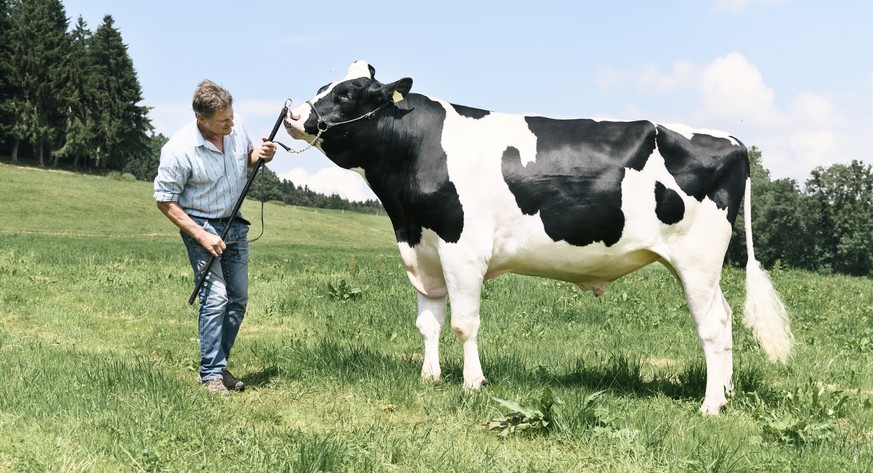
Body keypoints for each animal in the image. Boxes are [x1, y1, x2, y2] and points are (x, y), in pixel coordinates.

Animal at [284, 60, 792, 412]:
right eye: (323, 87)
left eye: (348, 92)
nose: (291, 112)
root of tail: (731, 139)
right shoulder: (423, 249)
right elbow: (428, 323)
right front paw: (430, 378)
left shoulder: (463, 250)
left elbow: (464, 323)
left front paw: (473, 384)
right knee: (726, 317)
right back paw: (725, 391)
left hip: (697, 259)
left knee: (713, 325)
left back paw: (711, 404)